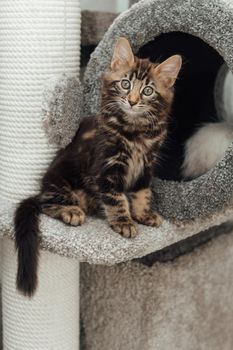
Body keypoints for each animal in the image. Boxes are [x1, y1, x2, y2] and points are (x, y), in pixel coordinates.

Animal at [14, 37, 182, 296]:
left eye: (148, 90)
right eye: (125, 84)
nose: (132, 101)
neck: (135, 132)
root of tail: (42, 187)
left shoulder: (146, 167)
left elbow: (142, 194)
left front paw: (143, 214)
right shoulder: (107, 169)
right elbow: (117, 199)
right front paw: (124, 223)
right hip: (60, 181)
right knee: (46, 204)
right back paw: (71, 211)